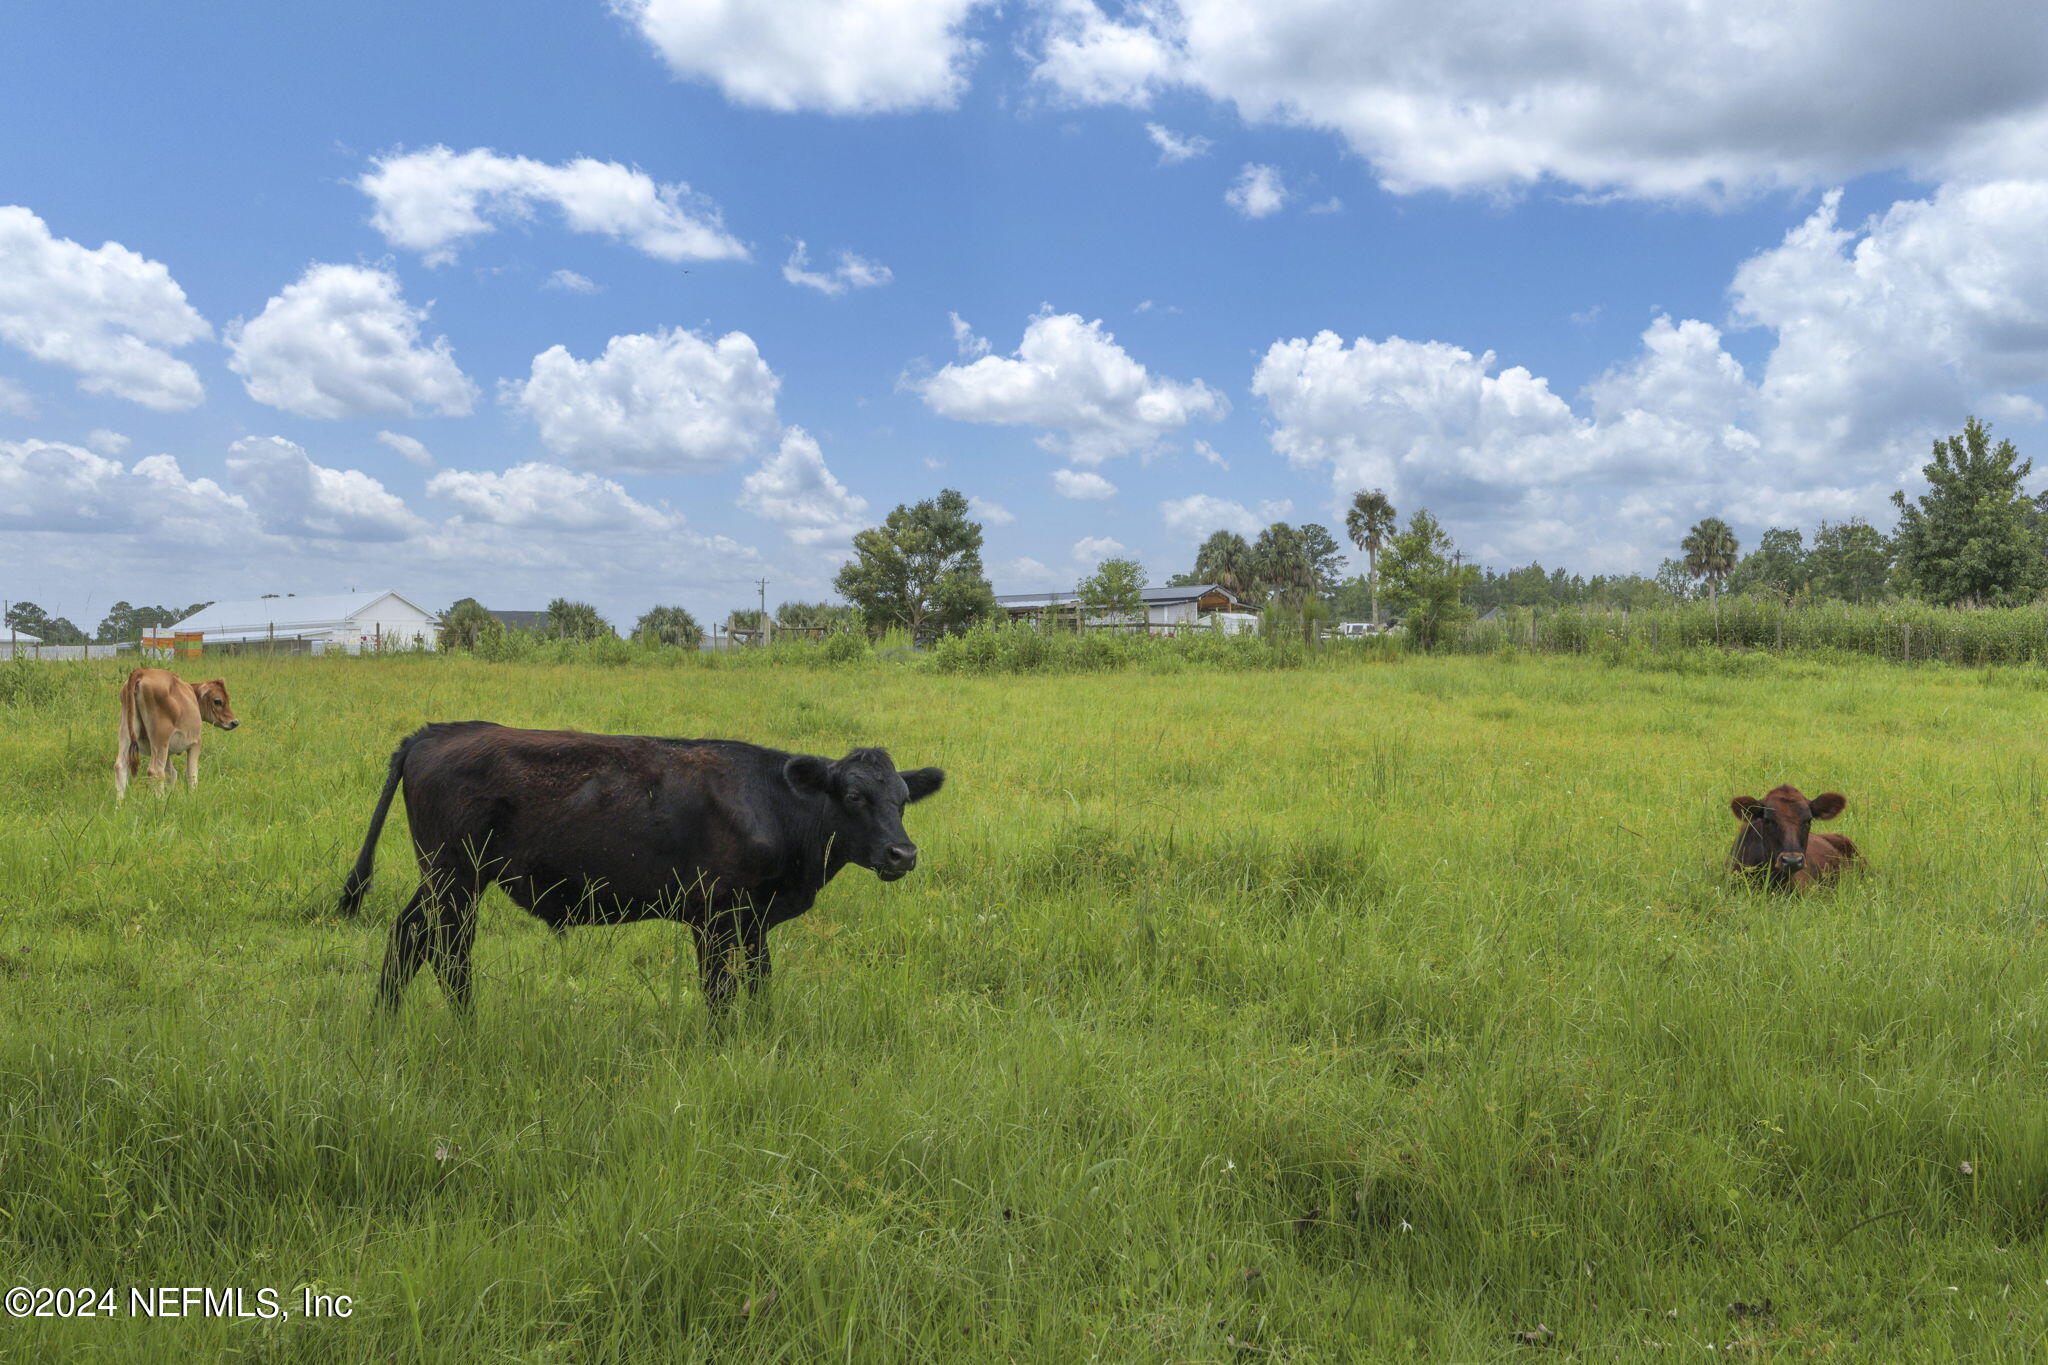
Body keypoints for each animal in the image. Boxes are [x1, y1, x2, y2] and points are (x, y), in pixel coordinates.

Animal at [116, 667, 239, 798]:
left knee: (121, 766)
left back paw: (120, 802)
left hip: (126, 732)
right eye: (218, 701)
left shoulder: (168, 752)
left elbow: (171, 774)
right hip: (160, 739)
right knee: (156, 771)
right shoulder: (196, 742)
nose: (235, 722)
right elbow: (191, 773)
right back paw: (160, 800)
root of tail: (142, 671)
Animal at [336, 722, 945, 1018]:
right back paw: (466, 1027)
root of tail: (434, 731)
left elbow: (758, 983)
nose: (903, 854)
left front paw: (761, 1037)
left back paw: (384, 1021)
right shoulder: (712, 916)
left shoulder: (754, 921)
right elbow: (719, 991)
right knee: (448, 952)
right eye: (853, 796)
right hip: (457, 879)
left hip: (441, 879)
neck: (773, 805)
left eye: (902, 800)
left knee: (407, 936)